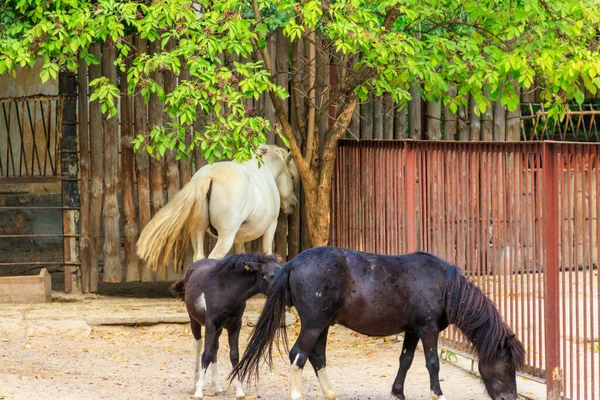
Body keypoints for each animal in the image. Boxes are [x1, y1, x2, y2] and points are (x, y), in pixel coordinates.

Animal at [134, 144, 298, 272]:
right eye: (292, 177)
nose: (294, 204)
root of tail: (209, 176)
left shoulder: (239, 237)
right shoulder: (271, 226)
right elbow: (267, 252)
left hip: (198, 232)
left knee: (199, 258)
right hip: (225, 236)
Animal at [170, 255, 280, 398]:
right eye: (269, 275)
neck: (226, 291)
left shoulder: (235, 325)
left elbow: (234, 355)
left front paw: (239, 392)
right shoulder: (210, 324)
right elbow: (205, 355)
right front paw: (199, 392)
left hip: (219, 328)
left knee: (214, 348)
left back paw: (217, 387)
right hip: (195, 321)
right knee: (198, 346)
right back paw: (194, 385)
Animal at [232, 247, 524, 400]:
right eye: (507, 364)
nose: (509, 398)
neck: (443, 285)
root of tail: (293, 262)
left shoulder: (412, 331)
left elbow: (405, 361)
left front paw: (397, 393)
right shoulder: (428, 330)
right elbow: (432, 364)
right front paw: (437, 394)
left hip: (323, 325)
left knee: (317, 357)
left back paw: (330, 393)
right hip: (313, 325)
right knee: (298, 356)